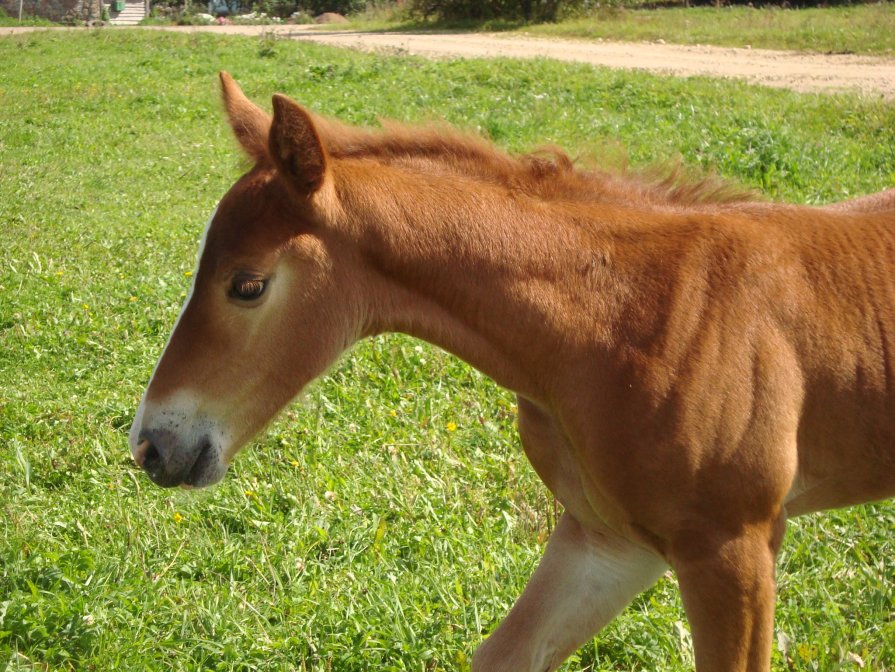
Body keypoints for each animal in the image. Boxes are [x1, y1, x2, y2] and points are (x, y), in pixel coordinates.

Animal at [128, 75, 895, 672]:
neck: (626, 320)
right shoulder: (608, 539)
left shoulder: (732, 546)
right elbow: (503, 654)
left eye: (247, 285)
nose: (152, 445)